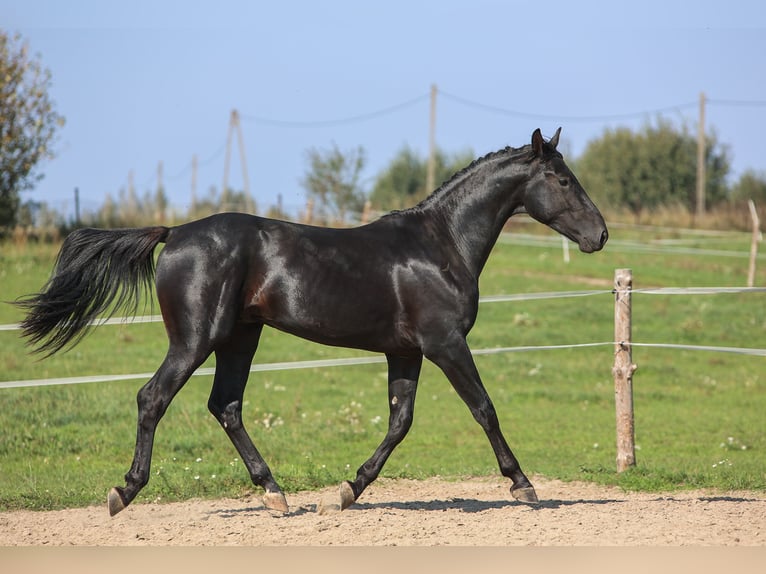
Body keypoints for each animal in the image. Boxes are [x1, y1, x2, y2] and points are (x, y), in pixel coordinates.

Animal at [15, 129, 608, 516]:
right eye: (560, 178)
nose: (600, 235)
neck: (440, 244)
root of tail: (175, 232)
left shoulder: (406, 351)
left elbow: (400, 421)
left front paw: (348, 489)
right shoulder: (445, 343)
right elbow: (484, 409)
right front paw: (523, 486)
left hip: (240, 337)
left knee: (225, 406)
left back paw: (275, 494)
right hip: (196, 338)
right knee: (153, 398)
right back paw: (125, 492)